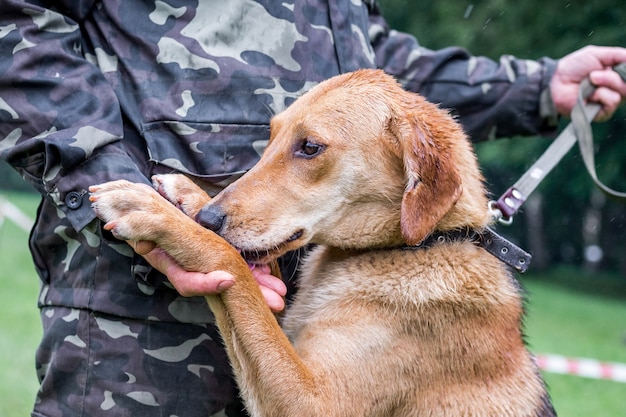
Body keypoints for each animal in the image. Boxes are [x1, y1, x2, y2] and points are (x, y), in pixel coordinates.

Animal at [90, 70, 552, 414]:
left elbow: (233, 266)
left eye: (310, 147)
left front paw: (160, 215)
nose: (210, 218)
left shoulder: (313, 403)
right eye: (271, 137)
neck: (424, 244)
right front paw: (188, 196)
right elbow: (249, 285)